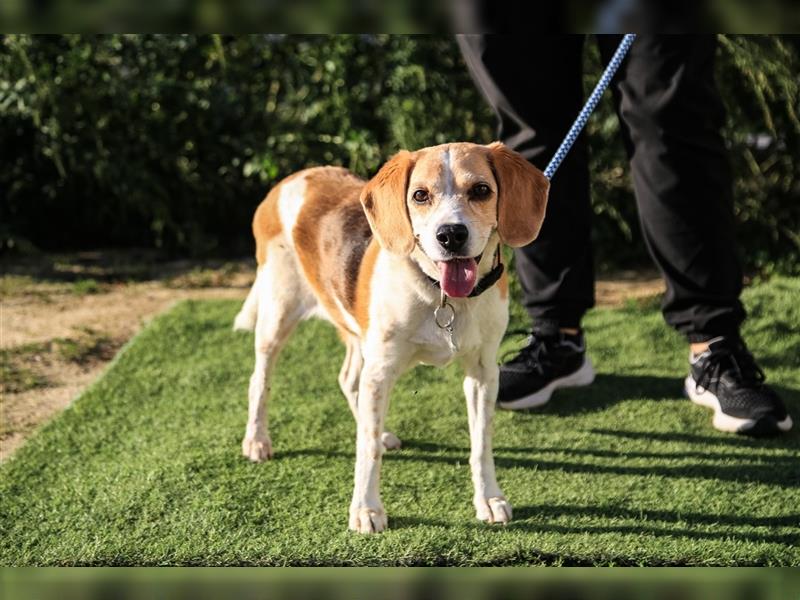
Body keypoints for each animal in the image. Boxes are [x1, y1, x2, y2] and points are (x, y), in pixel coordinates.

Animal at [233, 142, 552, 536]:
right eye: (420, 195)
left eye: (481, 190)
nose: (451, 235)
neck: (441, 294)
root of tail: (293, 178)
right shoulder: (381, 369)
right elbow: (367, 449)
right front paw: (366, 509)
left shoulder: (482, 373)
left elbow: (481, 444)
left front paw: (489, 499)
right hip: (277, 315)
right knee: (259, 380)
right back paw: (257, 440)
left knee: (348, 381)